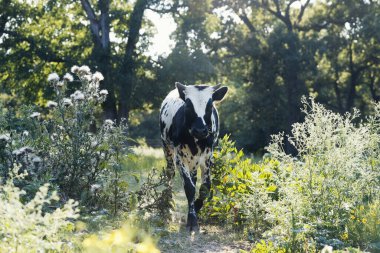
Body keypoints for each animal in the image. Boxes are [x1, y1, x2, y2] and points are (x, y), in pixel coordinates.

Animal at [159, 82, 227, 231]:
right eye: (188, 106)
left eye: (210, 105)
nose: (200, 130)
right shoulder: (180, 158)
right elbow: (189, 187)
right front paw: (192, 219)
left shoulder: (207, 157)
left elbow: (205, 187)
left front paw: (195, 207)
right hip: (167, 148)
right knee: (170, 173)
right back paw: (168, 204)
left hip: (194, 161)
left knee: (194, 177)